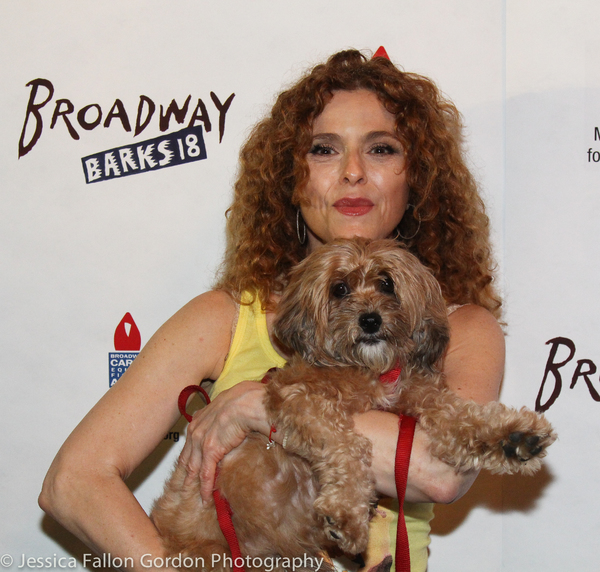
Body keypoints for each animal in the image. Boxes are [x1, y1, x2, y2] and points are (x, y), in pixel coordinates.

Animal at [152, 237, 556, 568]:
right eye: (340, 288)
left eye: (387, 283)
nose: (370, 320)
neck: (369, 373)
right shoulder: (299, 400)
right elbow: (348, 445)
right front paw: (346, 513)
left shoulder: (419, 397)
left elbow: (461, 415)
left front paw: (514, 436)